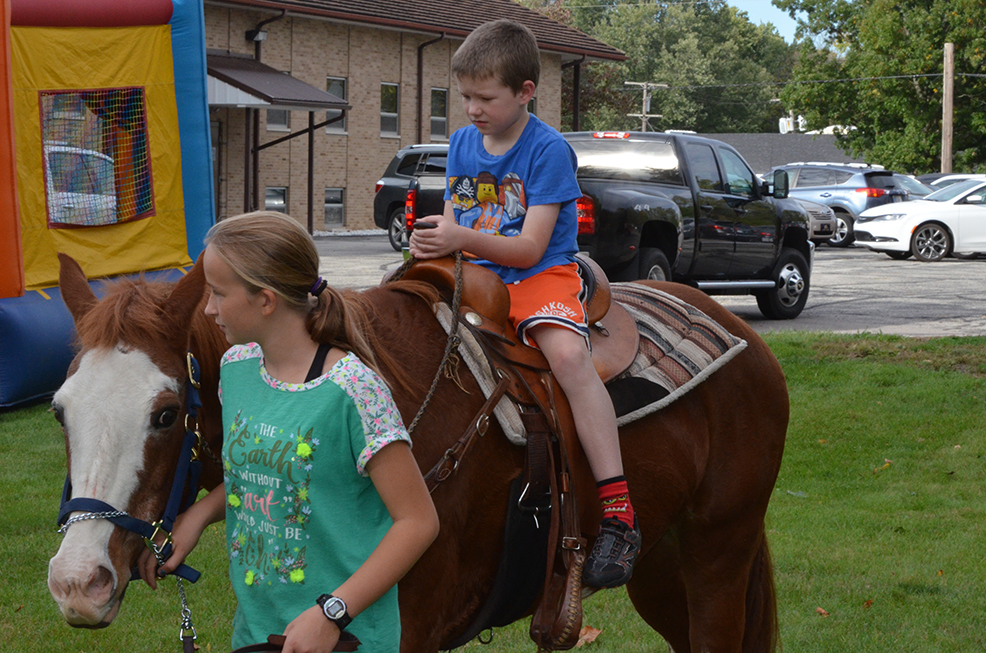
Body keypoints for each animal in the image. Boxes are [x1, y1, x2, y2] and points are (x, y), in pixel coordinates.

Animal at [48, 255, 784, 652]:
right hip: (662, 566)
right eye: (60, 409)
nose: (77, 584)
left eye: (166, 413)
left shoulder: (409, 627)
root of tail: (743, 333)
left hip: (718, 556)